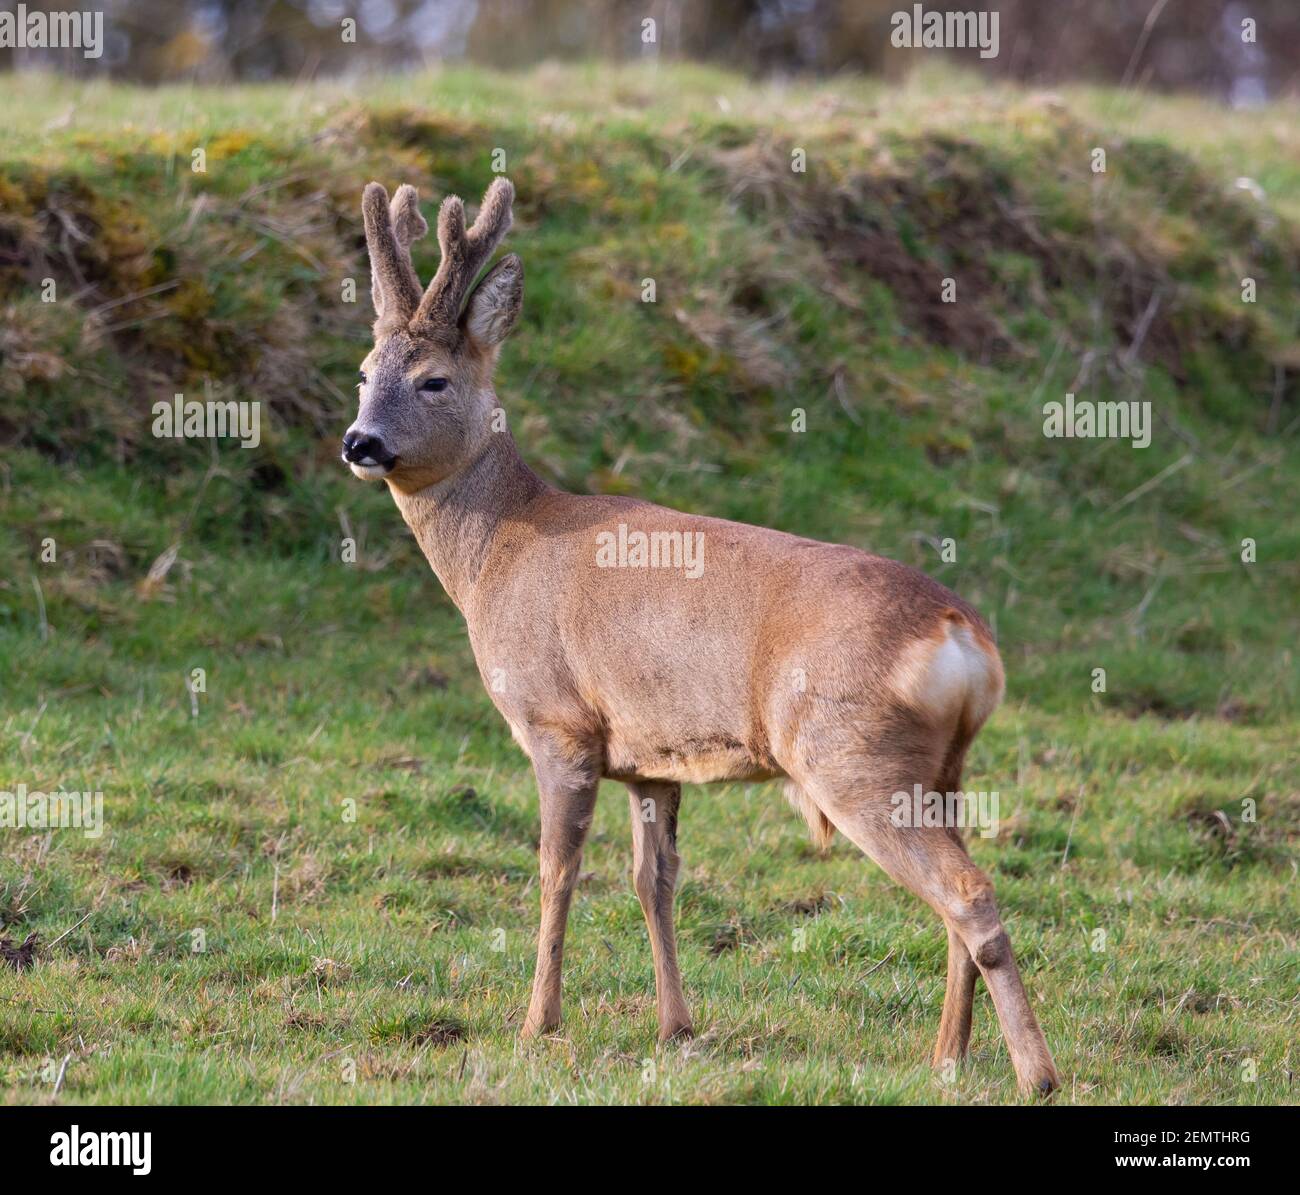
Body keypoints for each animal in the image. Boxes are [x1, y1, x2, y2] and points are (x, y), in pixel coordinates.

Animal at [343, 176, 1060, 1096]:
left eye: (433, 379)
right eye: (364, 371)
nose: (360, 441)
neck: (499, 551)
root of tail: (962, 636)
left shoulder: (558, 723)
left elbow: (555, 870)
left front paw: (537, 1024)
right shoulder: (652, 756)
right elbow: (654, 880)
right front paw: (676, 1025)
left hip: (849, 754)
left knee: (967, 890)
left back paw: (1035, 1072)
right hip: (944, 769)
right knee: (952, 897)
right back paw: (946, 1055)